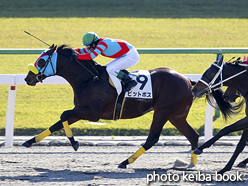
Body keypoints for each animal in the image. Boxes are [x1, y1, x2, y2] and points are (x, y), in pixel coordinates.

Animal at [22, 44, 199, 168]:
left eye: (41, 61)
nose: (27, 78)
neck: (89, 79)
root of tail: (188, 80)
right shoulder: (80, 110)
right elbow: (57, 123)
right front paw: (29, 141)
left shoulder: (92, 113)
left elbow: (63, 115)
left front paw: (75, 143)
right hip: (176, 116)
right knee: (193, 136)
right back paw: (191, 163)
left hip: (163, 112)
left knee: (152, 138)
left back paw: (125, 162)